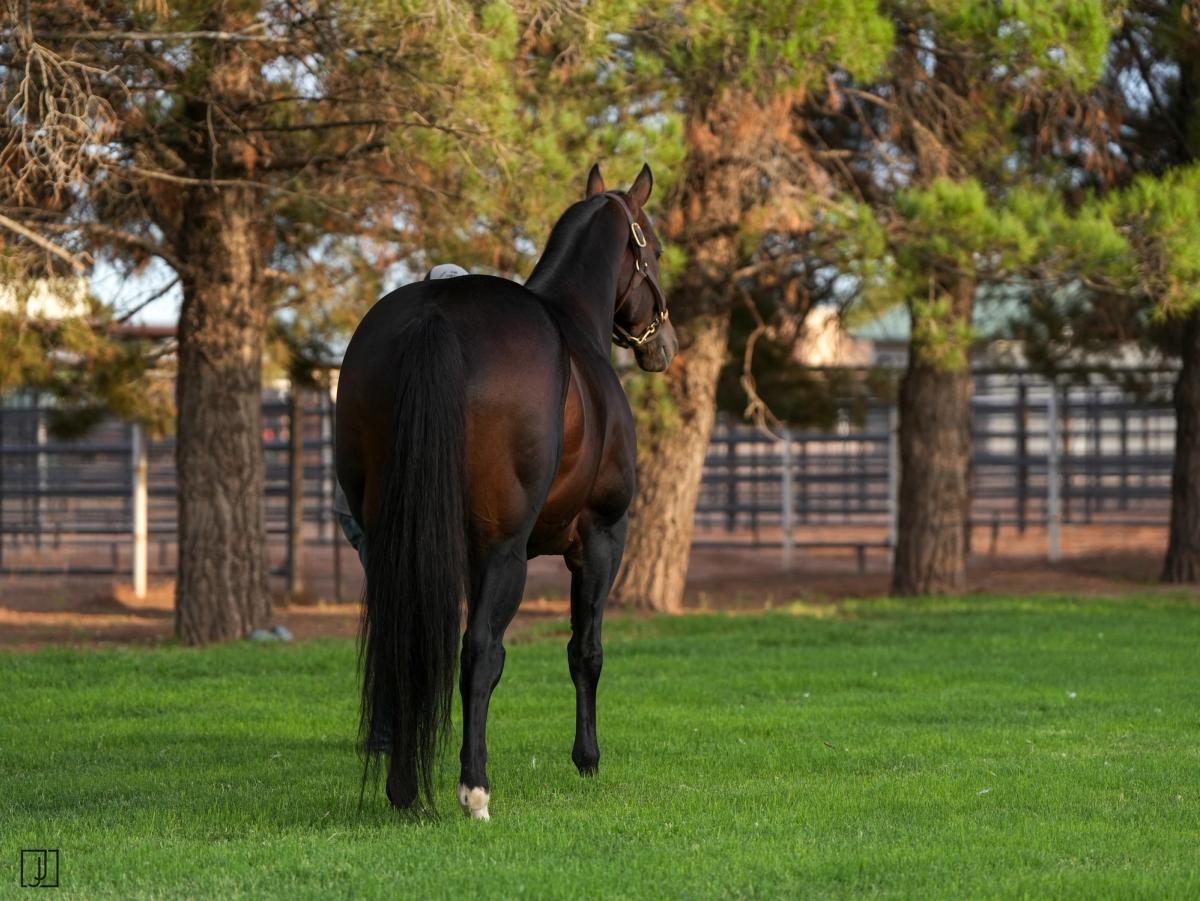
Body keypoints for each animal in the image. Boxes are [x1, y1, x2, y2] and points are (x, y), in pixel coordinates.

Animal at [335, 163, 677, 819]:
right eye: (655, 246)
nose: (663, 345)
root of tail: (436, 313)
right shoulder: (601, 538)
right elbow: (584, 650)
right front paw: (587, 758)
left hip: (390, 542)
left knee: (404, 646)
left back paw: (403, 788)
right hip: (505, 549)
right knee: (480, 652)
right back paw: (474, 788)